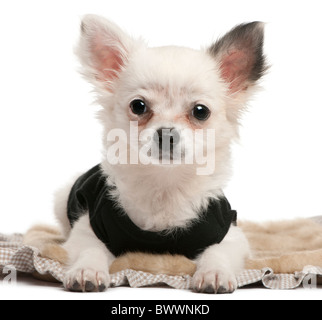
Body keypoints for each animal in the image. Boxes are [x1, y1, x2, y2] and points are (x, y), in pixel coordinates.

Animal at [54, 15, 266, 296]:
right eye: (138, 106)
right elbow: (90, 250)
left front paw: (215, 273)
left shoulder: (230, 235)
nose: (166, 133)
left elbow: (216, 252)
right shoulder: (87, 229)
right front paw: (86, 271)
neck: (165, 183)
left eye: (200, 111)